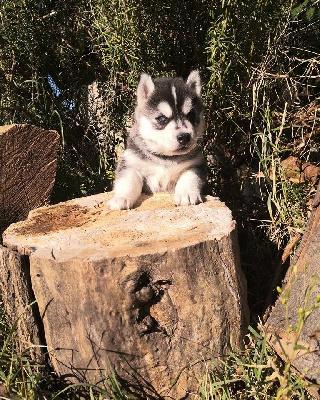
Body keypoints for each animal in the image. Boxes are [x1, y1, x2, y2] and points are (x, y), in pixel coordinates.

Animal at [107, 70, 206, 211]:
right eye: (162, 119)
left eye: (191, 115)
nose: (184, 136)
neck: (165, 158)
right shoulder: (130, 164)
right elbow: (127, 181)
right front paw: (121, 198)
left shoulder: (196, 165)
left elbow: (190, 177)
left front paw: (187, 194)